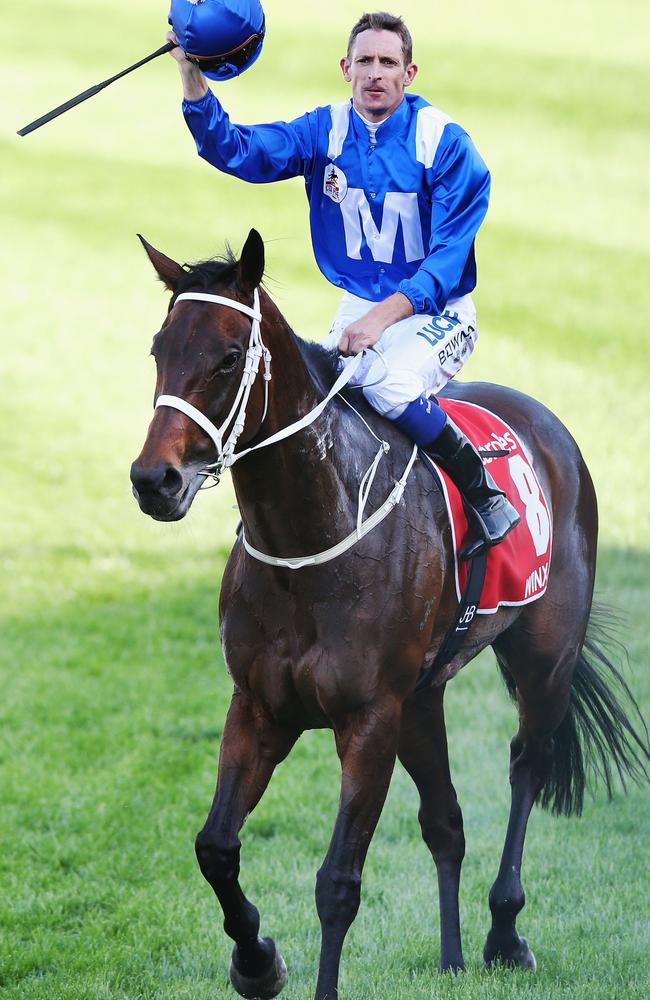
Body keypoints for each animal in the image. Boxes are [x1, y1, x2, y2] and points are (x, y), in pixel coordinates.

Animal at [129, 229, 644, 1000]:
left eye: (227, 356)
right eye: (160, 347)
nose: (153, 480)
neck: (312, 538)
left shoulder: (369, 717)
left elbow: (337, 882)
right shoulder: (259, 706)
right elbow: (216, 847)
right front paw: (257, 961)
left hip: (543, 661)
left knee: (528, 764)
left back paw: (503, 932)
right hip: (424, 697)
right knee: (446, 821)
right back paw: (452, 957)